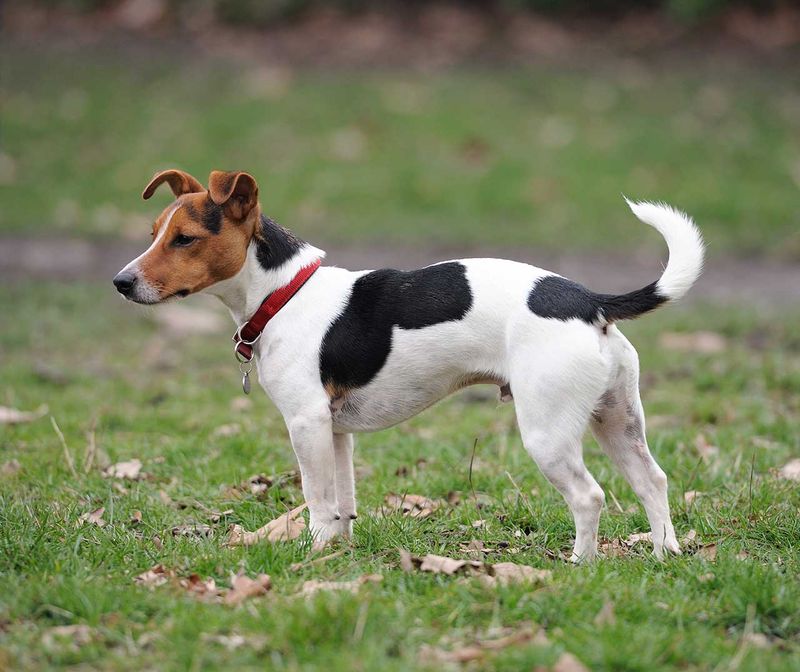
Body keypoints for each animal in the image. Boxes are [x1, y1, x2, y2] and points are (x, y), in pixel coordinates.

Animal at [115, 169, 704, 560]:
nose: (121, 282)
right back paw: (665, 554)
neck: (284, 293)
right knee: (652, 482)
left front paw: (313, 554)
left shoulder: (305, 423)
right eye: (153, 234)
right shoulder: (336, 431)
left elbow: (316, 498)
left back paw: (580, 564)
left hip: (548, 432)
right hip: (618, 420)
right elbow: (343, 500)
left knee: (589, 496)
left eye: (185, 239)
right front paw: (338, 553)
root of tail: (589, 300)